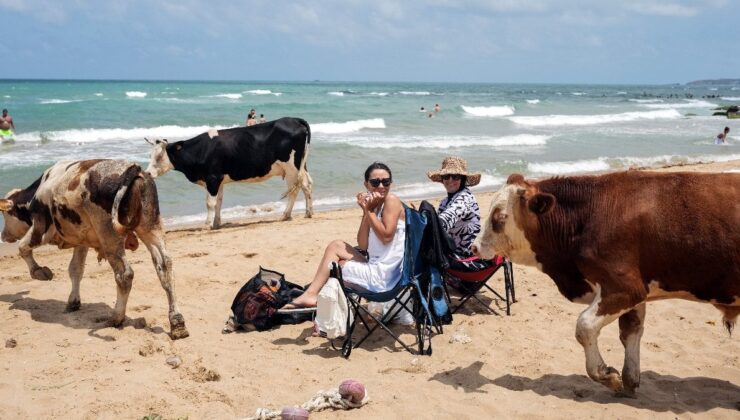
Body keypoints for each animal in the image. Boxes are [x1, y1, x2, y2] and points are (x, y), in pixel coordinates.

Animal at [0, 159, 189, 340]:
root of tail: (133, 169)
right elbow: (75, 270)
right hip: (151, 227)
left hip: (110, 236)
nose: (3, 235)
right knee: (165, 267)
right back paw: (177, 323)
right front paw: (73, 301)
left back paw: (116, 318)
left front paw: (39, 272)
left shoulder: (40, 228)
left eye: (5, 214)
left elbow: (23, 248)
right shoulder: (81, 241)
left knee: (125, 275)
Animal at [146, 117, 314, 230]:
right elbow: (219, 202)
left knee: (296, 189)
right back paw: (306, 213)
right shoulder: (218, 180)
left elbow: (210, 203)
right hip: (300, 166)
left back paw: (289, 214)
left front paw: (207, 225)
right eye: (150, 155)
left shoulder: (212, 178)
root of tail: (294, 119)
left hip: (292, 167)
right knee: (306, 185)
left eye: (159, 156)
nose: (147, 173)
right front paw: (216, 223)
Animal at [474, 169, 740, 396]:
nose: (474, 247)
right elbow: (630, 331)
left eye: (499, 216)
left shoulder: (625, 288)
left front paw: (607, 376)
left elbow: (584, 327)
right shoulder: (636, 292)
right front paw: (629, 381)